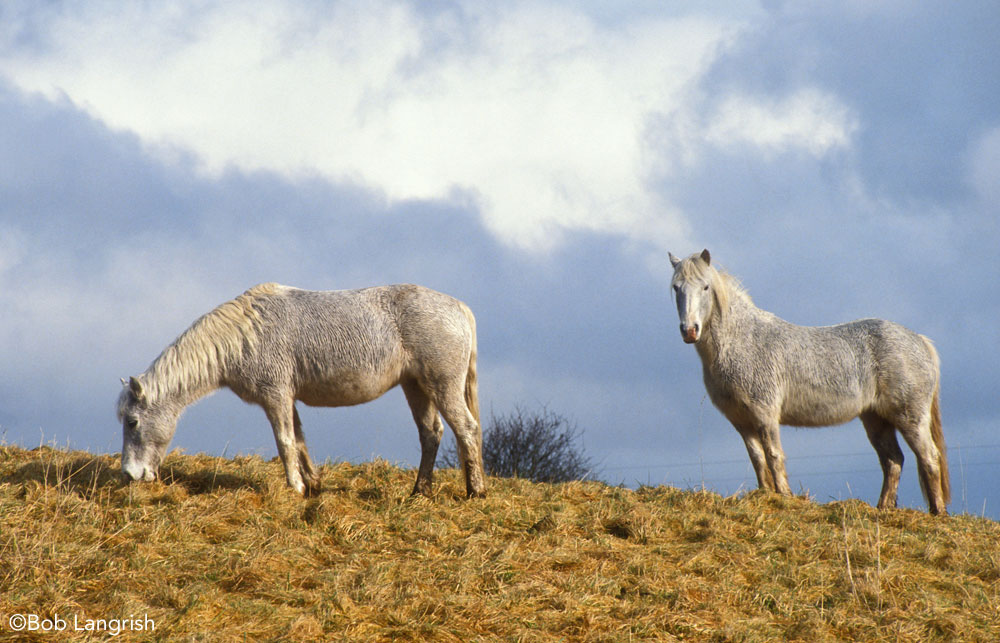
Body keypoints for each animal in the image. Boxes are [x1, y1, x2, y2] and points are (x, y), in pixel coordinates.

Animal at [117, 284, 488, 500]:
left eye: (132, 422)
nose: (131, 474)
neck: (244, 336)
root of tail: (460, 308)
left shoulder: (275, 396)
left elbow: (284, 441)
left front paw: (295, 486)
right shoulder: (288, 398)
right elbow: (299, 440)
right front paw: (312, 484)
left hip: (442, 385)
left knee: (466, 430)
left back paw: (476, 491)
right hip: (416, 387)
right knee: (431, 433)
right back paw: (419, 491)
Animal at [668, 249, 948, 516]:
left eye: (705, 286)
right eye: (676, 287)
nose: (689, 330)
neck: (742, 341)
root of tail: (920, 341)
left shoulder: (765, 414)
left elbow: (773, 455)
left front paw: (784, 496)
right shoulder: (741, 421)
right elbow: (757, 458)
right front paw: (764, 494)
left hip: (910, 417)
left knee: (929, 458)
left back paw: (938, 512)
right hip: (876, 419)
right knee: (893, 460)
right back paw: (883, 508)